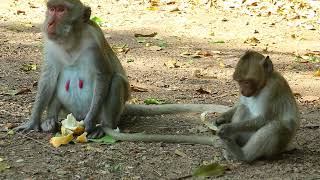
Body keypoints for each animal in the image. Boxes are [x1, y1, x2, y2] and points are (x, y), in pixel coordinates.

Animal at [16, 0, 228, 145]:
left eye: (61, 10)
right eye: (51, 8)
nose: (49, 23)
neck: (71, 40)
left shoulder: (94, 41)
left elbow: (104, 75)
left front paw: (89, 123)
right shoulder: (50, 43)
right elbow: (48, 78)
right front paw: (33, 121)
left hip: (109, 113)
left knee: (116, 81)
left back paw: (102, 127)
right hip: (68, 111)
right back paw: (51, 120)